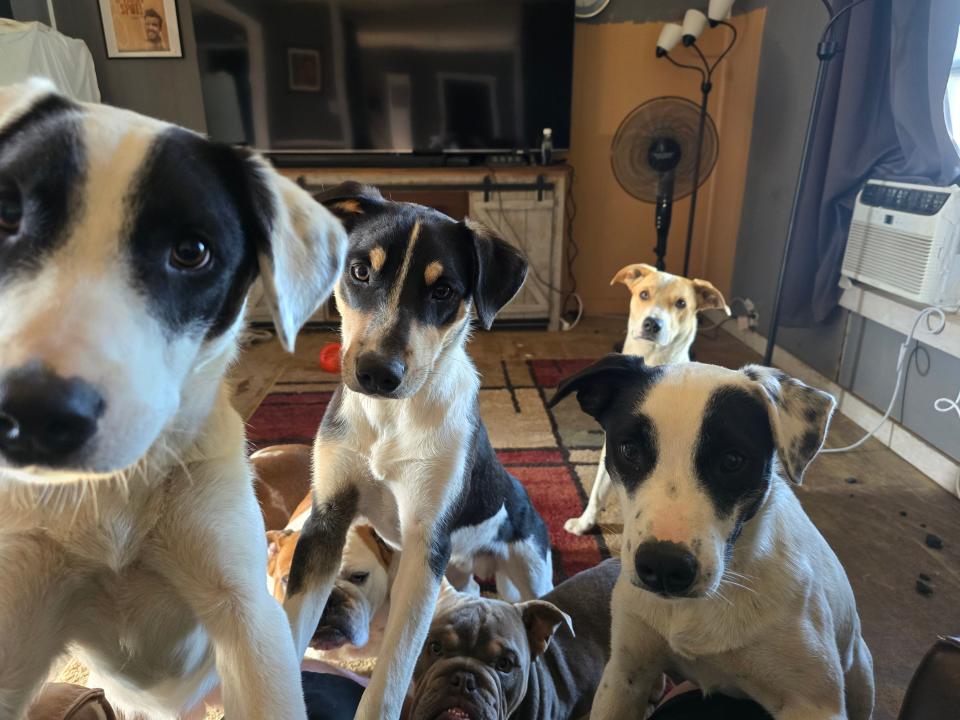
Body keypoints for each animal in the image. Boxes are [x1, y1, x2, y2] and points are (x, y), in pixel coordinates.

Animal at [284, 184, 556, 720]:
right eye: (360, 271)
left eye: (443, 290)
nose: (376, 373)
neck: (392, 419)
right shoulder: (326, 522)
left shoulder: (424, 545)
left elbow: (393, 668)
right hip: (459, 572)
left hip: (531, 571)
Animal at [548, 358, 876, 720]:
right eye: (629, 450)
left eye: (732, 460)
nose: (663, 567)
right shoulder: (624, 677)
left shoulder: (813, 703)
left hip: (860, 672)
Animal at [564, 262, 728, 536]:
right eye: (644, 294)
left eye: (681, 303)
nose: (653, 323)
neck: (652, 360)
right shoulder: (614, 445)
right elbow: (597, 491)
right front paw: (585, 522)